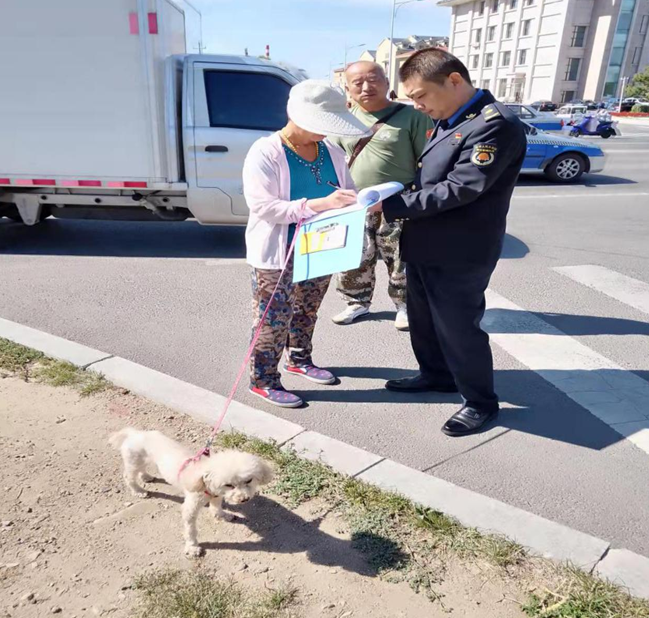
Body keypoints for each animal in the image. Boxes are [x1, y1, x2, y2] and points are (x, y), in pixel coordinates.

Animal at [110, 428, 272, 552]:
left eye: (248, 480)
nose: (244, 499)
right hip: (134, 462)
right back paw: (138, 490)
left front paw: (222, 515)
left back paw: (146, 477)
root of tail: (134, 433)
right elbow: (190, 529)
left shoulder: (216, 496)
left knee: (142, 470)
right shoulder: (191, 508)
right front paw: (192, 547)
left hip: (144, 460)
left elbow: (216, 508)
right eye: (229, 485)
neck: (204, 482)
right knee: (129, 477)